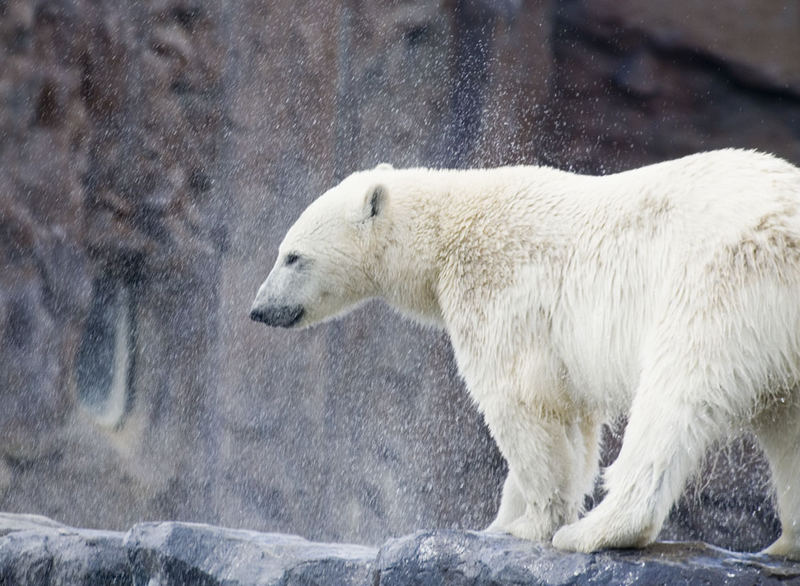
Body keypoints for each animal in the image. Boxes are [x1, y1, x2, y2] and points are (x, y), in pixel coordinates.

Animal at [248, 148, 800, 556]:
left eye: (292, 256)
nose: (258, 309)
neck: (450, 228)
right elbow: (573, 420)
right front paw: (499, 522)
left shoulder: (499, 288)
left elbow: (519, 401)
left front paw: (530, 524)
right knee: (786, 425)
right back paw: (784, 543)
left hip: (725, 282)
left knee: (675, 397)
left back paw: (596, 530)